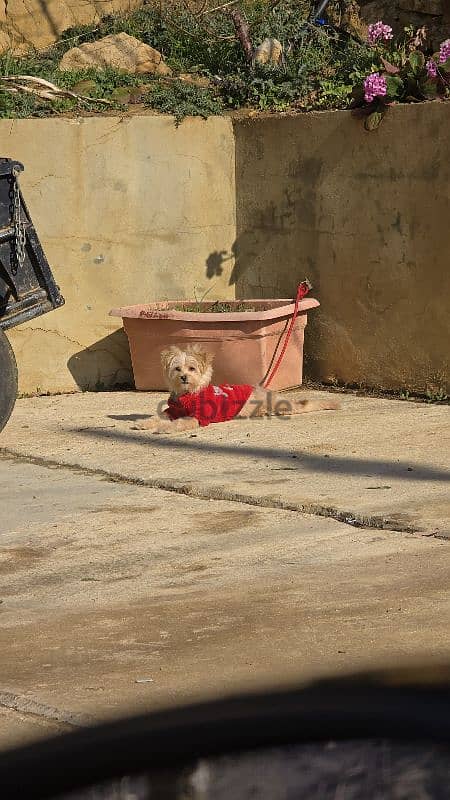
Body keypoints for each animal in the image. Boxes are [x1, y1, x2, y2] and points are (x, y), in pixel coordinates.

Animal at [132, 342, 340, 434]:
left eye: (192, 368)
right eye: (177, 369)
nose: (184, 377)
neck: (188, 395)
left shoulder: (197, 417)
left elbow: (179, 423)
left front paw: (165, 428)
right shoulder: (172, 410)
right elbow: (157, 416)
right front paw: (144, 423)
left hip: (278, 406)